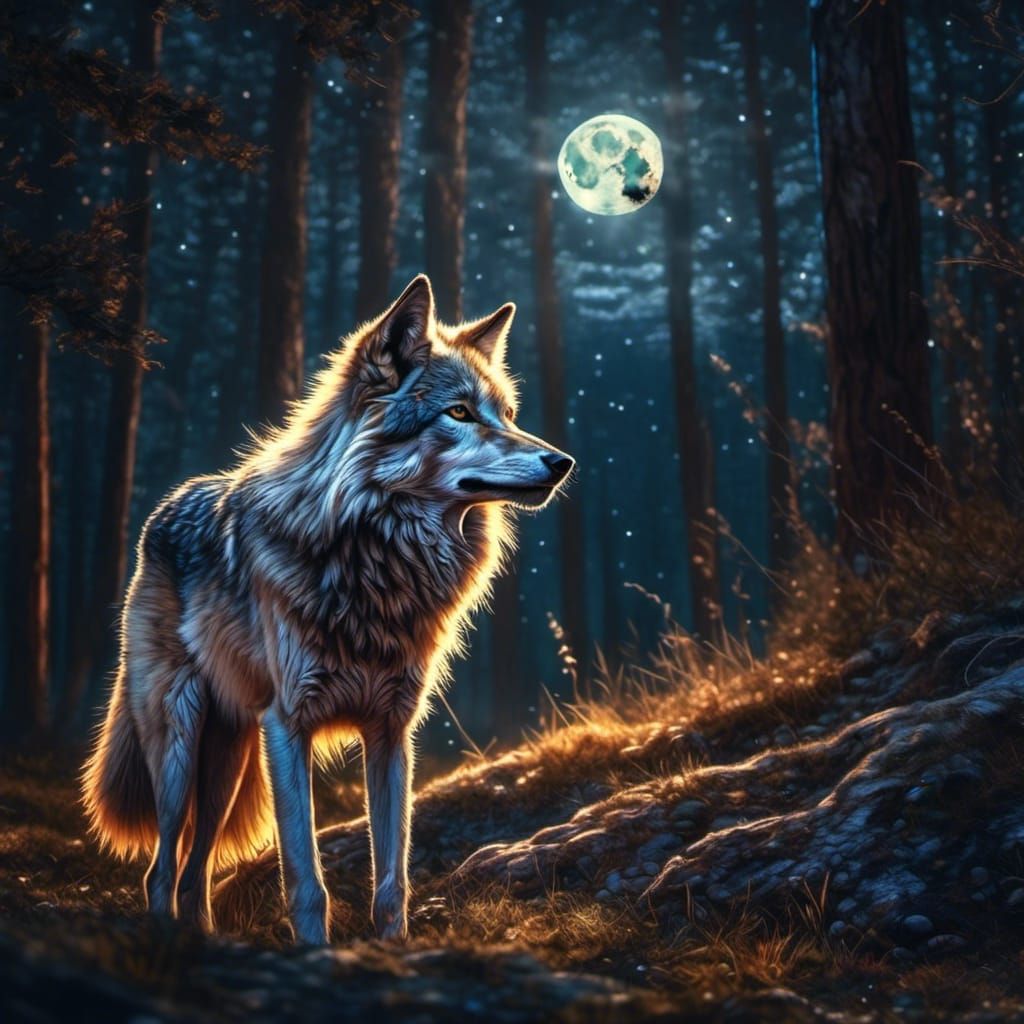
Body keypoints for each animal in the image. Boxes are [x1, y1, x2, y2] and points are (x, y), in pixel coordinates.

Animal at [82, 275, 573, 944]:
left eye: (509, 416)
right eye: (460, 413)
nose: (562, 462)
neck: (378, 566)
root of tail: (165, 507)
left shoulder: (392, 733)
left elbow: (391, 882)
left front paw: (394, 950)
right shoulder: (288, 726)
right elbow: (307, 882)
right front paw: (315, 952)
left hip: (229, 759)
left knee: (194, 866)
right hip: (182, 742)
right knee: (160, 868)